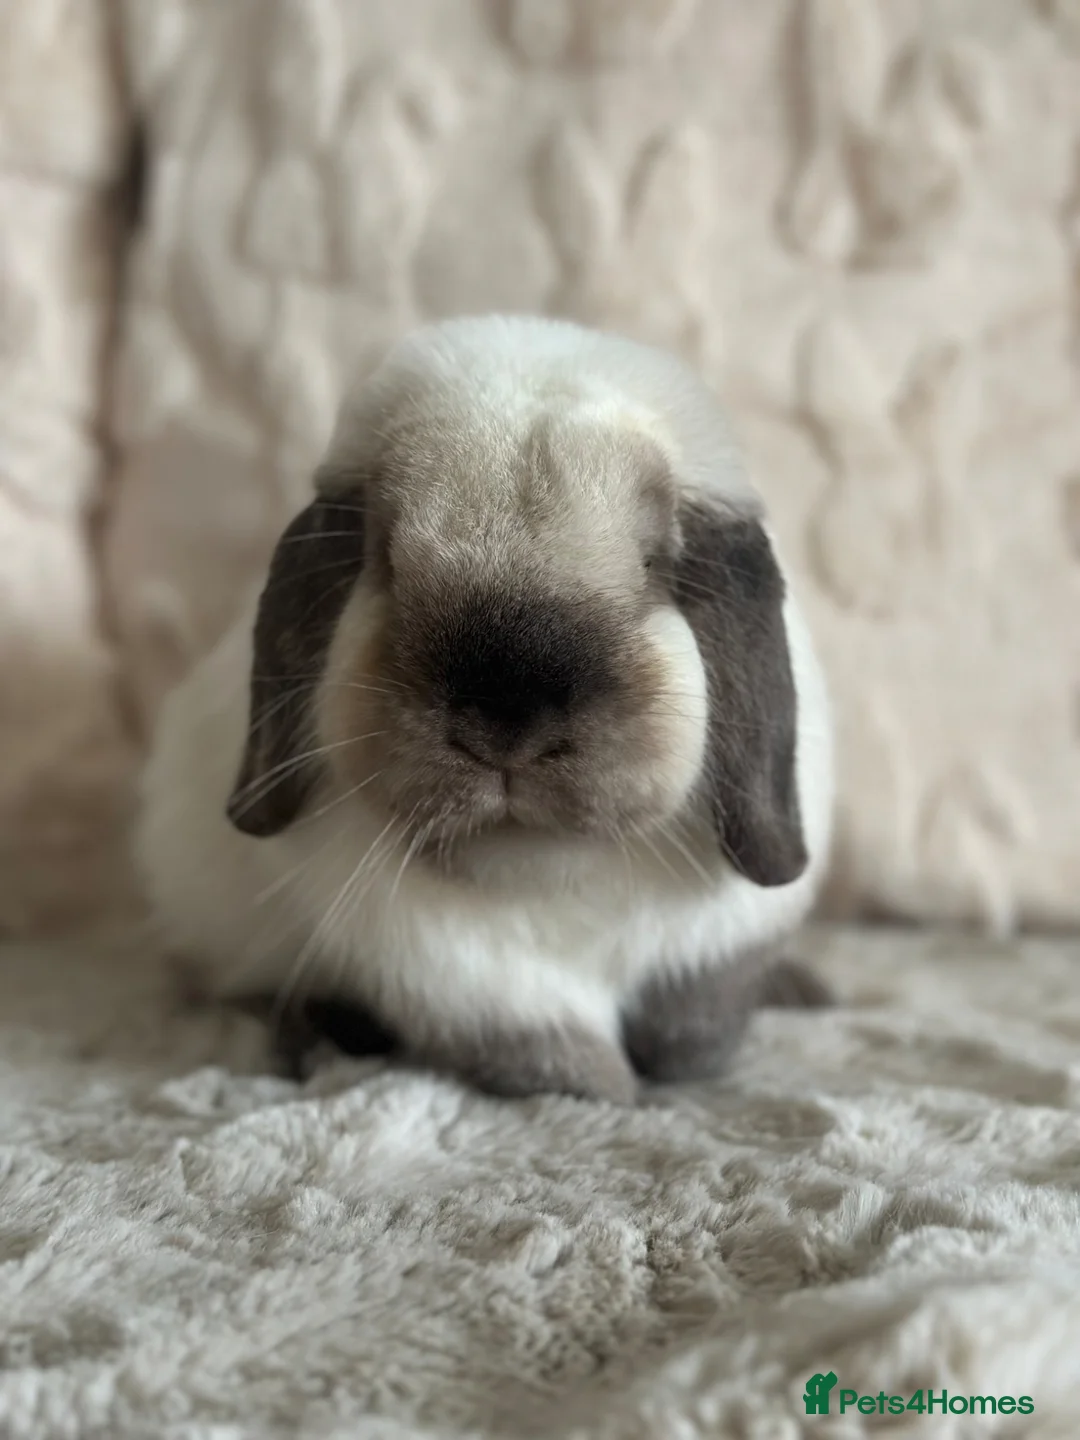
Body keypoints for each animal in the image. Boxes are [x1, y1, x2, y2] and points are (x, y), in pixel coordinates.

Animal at [135, 314, 835, 1105]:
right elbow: (544, 1048)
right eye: (384, 560)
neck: (549, 874)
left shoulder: (721, 947)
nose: (507, 723)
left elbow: (697, 1028)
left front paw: (685, 1070)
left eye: (656, 564)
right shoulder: (465, 981)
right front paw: (610, 1092)